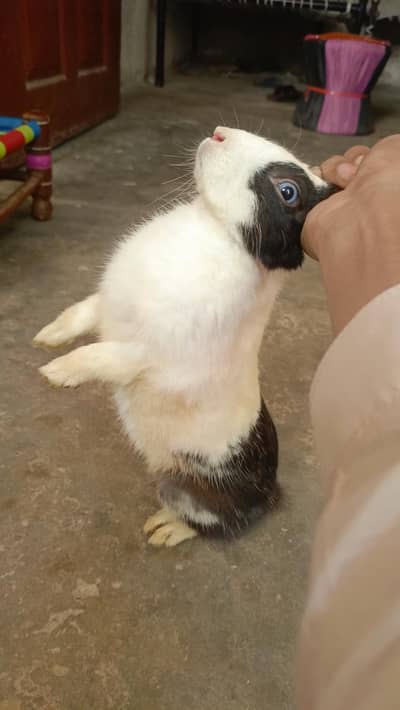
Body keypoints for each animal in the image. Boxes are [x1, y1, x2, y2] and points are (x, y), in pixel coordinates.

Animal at [34, 127, 333, 547]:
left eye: (287, 191)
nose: (220, 134)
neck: (214, 227)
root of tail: (269, 493)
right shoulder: (106, 307)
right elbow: (79, 316)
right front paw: (47, 337)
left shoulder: (144, 352)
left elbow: (98, 356)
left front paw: (56, 373)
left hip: (187, 492)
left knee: (217, 524)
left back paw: (165, 530)